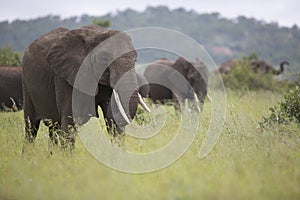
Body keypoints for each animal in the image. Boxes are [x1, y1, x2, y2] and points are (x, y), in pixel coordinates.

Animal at [22, 24, 150, 147]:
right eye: (104, 58)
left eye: (135, 59)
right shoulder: (65, 76)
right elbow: (69, 122)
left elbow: (113, 122)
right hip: (26, 84)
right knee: (31, 127)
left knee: (53, 128)